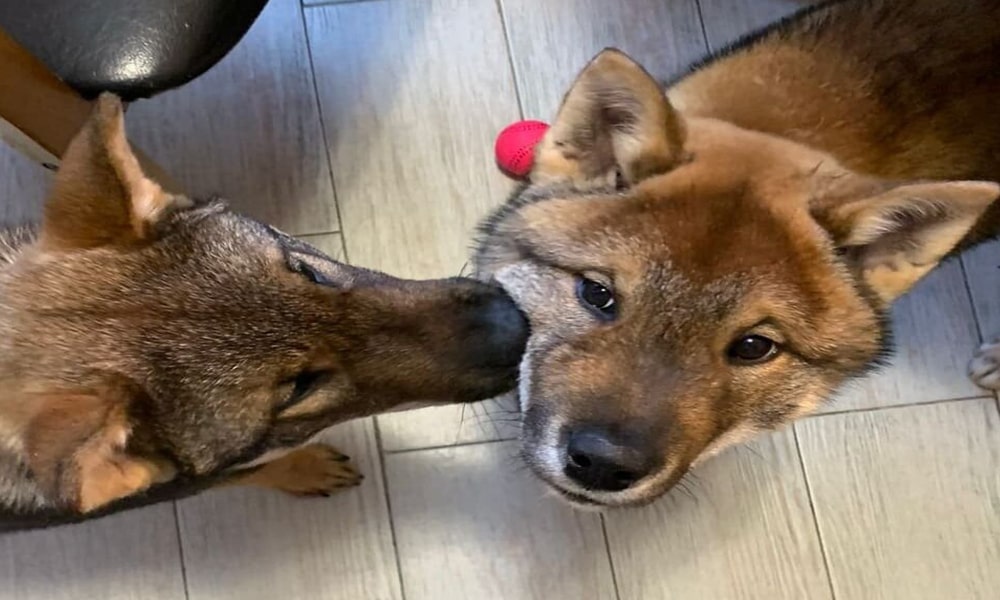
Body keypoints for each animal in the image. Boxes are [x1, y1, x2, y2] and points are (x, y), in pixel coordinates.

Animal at [0, 96, 532, 532]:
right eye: (299, 388)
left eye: (305, 270)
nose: (514, 325)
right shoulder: (177, 484)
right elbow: (250, 470)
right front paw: (305, 468)